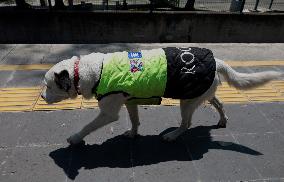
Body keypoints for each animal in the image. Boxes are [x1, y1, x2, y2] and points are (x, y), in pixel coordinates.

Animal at [41, 47, 282, 145]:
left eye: (49, 86)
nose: (42, 97)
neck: (87, 70)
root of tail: (218, 61)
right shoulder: (130, 101)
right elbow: (135, 120)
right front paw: (133, 134)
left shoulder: (108, 114)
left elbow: (88, 126)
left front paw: (75, 138)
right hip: (201, 93)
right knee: (219, 103)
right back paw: (222, 120)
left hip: (187, 102)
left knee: (186, 124)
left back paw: (173, 136)